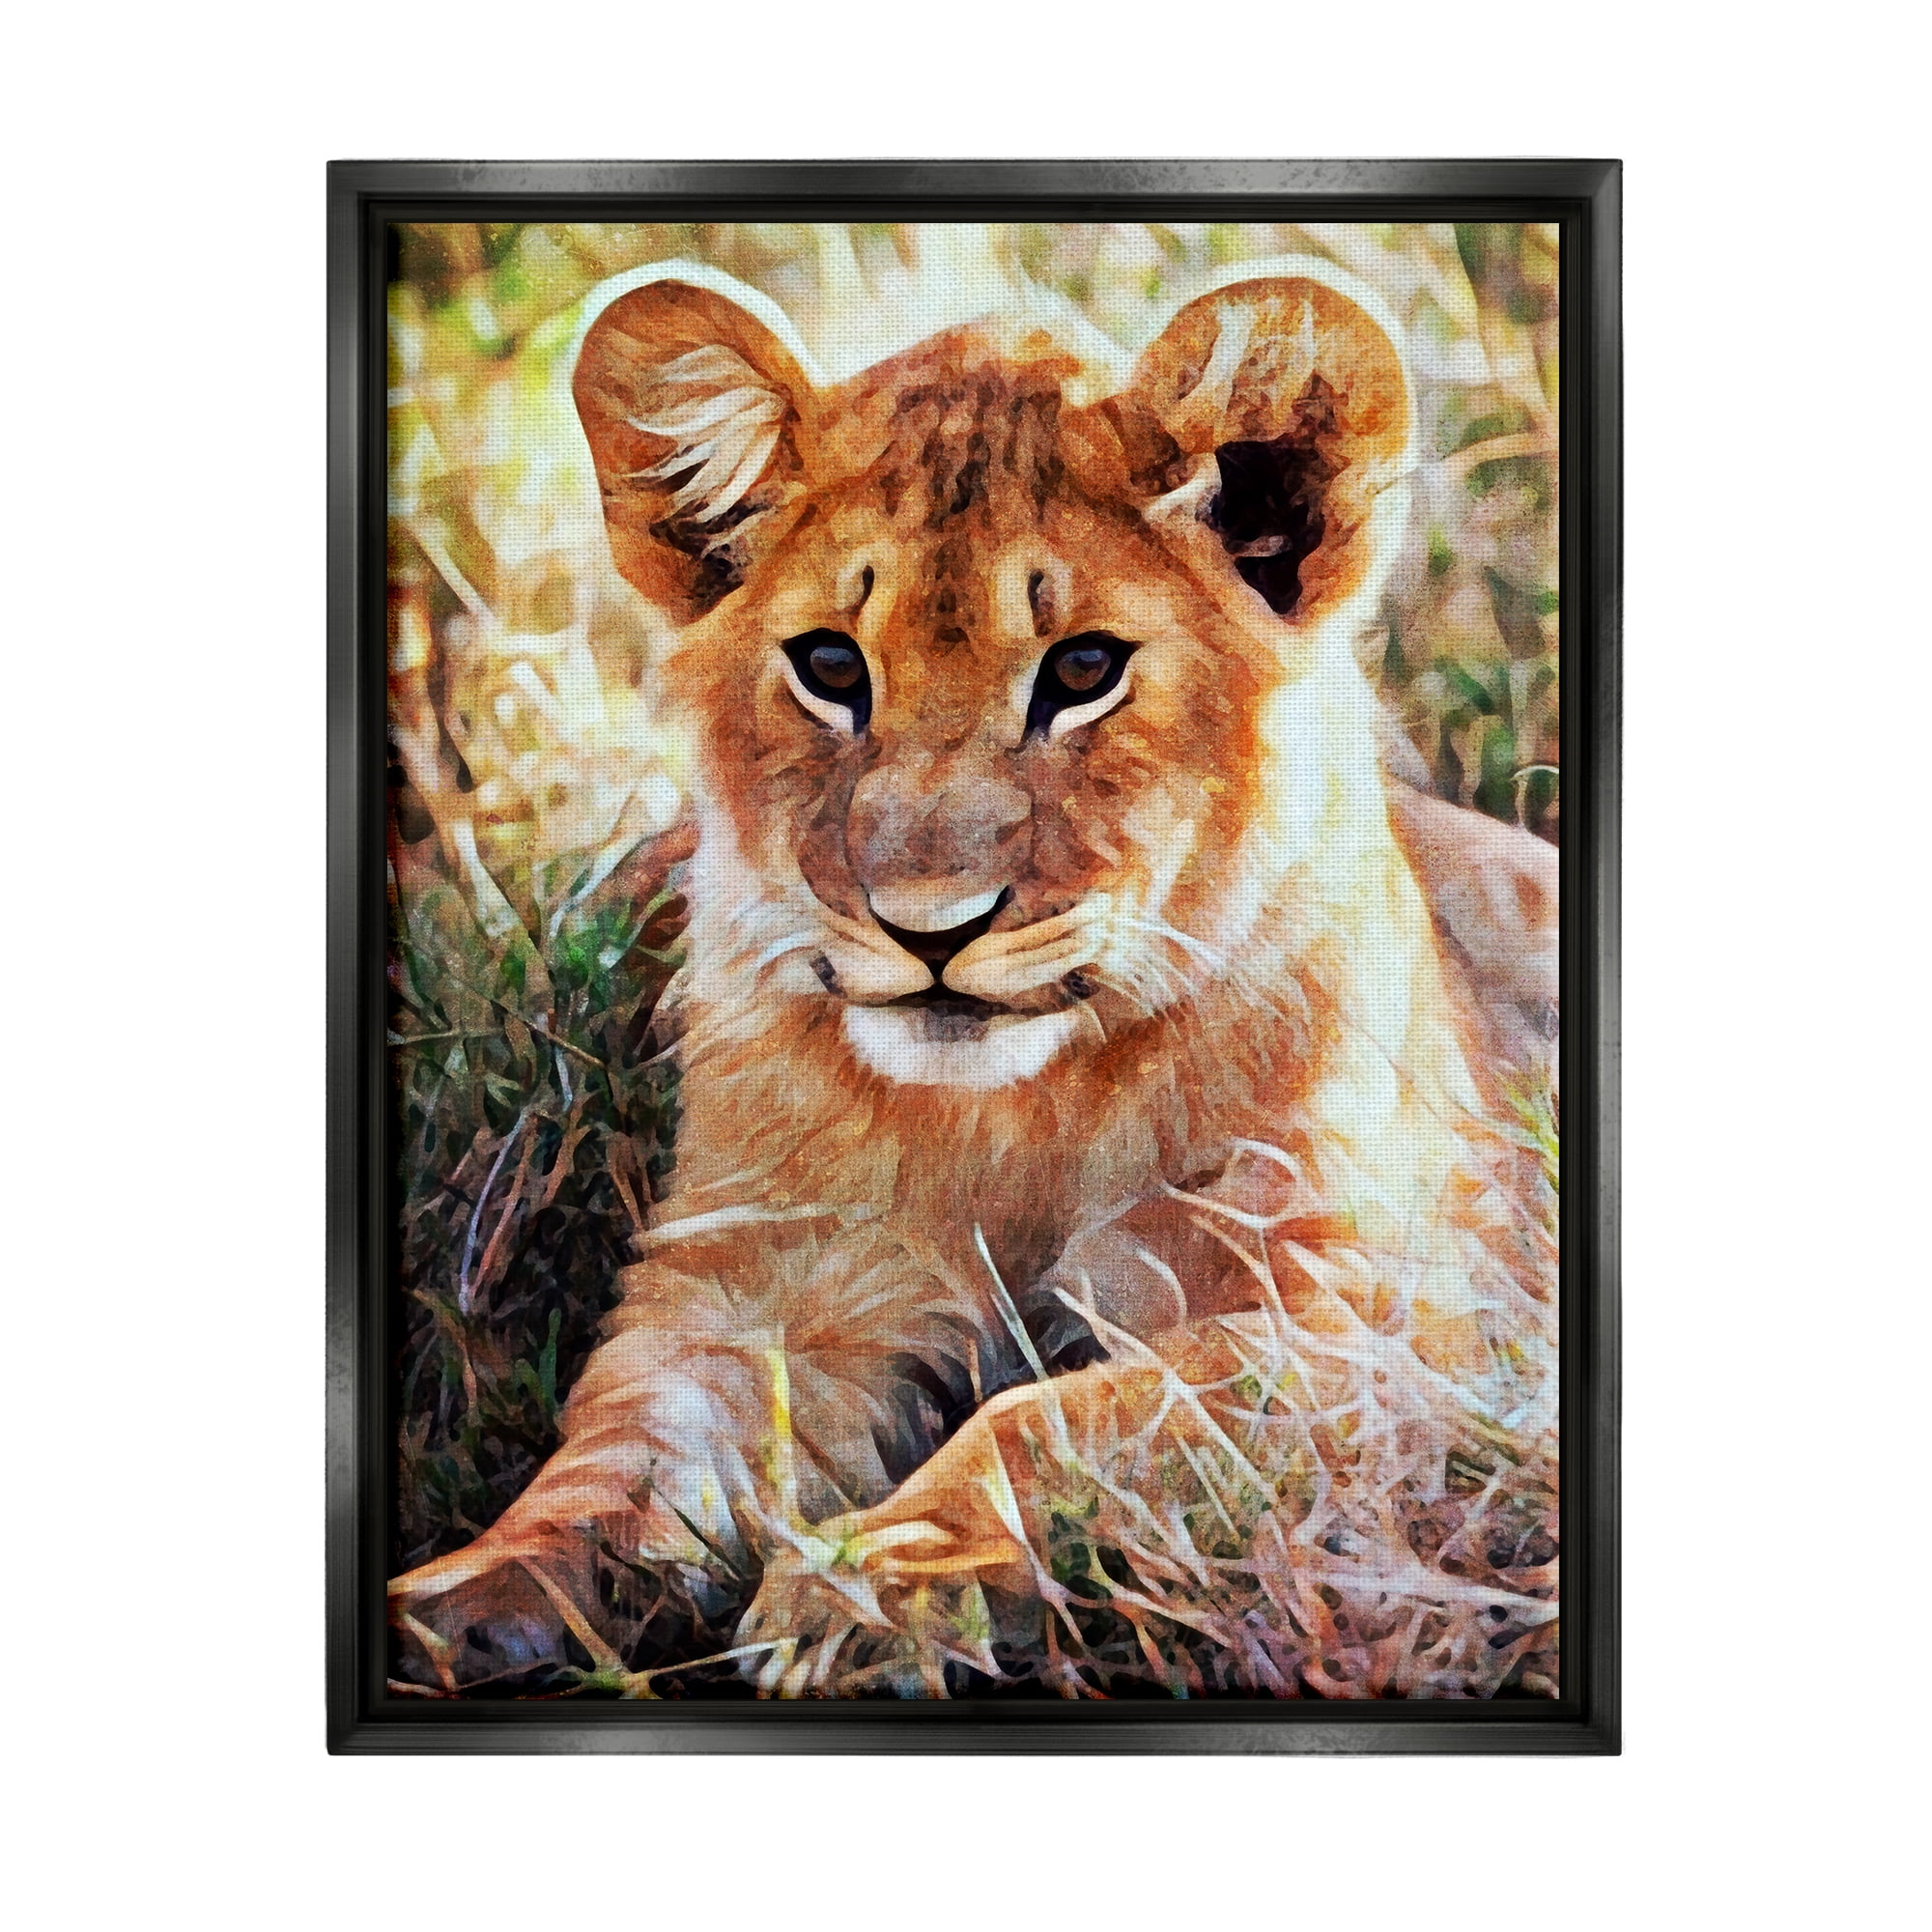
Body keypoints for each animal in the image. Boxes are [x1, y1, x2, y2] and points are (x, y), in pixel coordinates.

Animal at [390, 257, 1559, 1699]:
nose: (929, 929)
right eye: (831, 665)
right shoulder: (755, 1284)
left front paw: (872, 1587)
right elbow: (619, 1457)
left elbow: (1059, 1416)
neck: (1014, 1118)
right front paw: (465, 1597)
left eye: (1084, 669)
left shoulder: (1389, 1321)